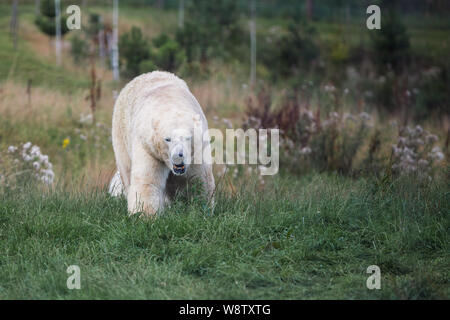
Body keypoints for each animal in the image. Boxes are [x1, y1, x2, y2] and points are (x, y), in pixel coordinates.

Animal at [109, 72, 214, 216]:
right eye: (167, 139)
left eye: (188, 138)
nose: (179, 156)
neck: (170, 102)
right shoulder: (148, 146)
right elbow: (148, 181)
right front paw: (144, 215)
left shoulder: (197, 150)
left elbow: (199, 179)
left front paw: (201, 208)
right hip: (121, 133)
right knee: (126, 169)